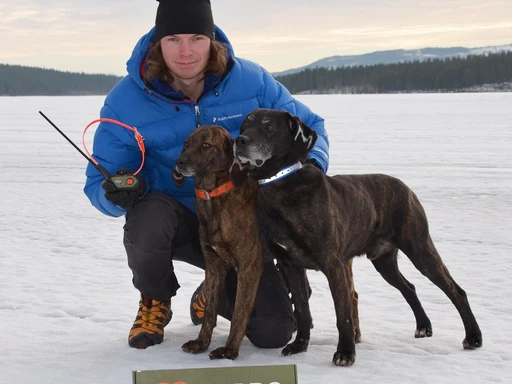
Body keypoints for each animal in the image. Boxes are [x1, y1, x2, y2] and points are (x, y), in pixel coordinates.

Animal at [234, 107, 482, 366]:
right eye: (245, 125)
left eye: (269, 127)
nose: (239, 141)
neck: (280, 183)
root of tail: (406, 187)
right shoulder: (290, 265)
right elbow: (302, 309)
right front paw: (299, 345)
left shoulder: (333, 264)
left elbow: (343, 315)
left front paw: (345, 353)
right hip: (384, 261)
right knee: (409, 287)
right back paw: (424, 326)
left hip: (420, 249)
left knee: (456, 291)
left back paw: (473, 337)